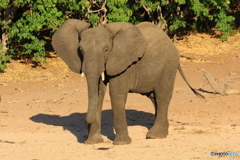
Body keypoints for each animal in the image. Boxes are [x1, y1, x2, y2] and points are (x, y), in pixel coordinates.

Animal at [51, 19, 203, 145]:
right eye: (81, 50)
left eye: (106, 49)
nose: (85, 121)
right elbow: (99, 94)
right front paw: (92, 143)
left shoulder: (123, 63)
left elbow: (116, 94)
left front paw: (121, 143)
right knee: (154, 98)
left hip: (169, 64)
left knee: (162, 95)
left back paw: (154, 136)